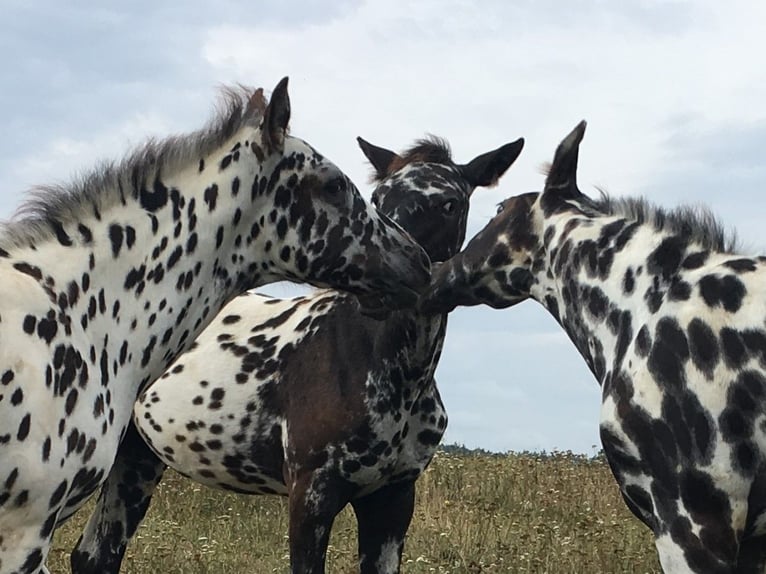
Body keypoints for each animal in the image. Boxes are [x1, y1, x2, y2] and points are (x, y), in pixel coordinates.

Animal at [75, 133, 524, 572]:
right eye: (378, 197)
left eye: (449, 203)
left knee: (96, 555)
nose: (388, 283)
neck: (385, 370)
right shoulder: (310, 495)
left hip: (137, 458)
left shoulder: (393, 500)